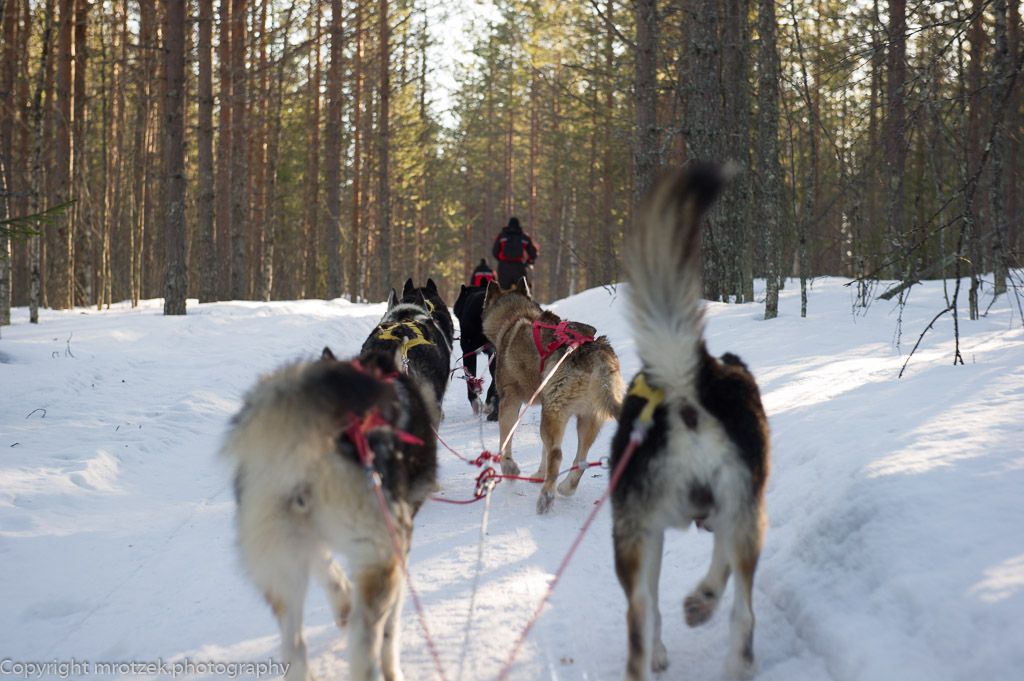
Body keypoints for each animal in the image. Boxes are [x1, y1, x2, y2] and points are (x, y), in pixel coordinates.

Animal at [222, 347, 437, 681]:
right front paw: (393, 670)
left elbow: (327, 568)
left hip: (284, 565)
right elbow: (392, 628)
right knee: (364, 642)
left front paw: (342, 602)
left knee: (294, 647)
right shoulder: (401, 545)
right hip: (380, 556)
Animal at [481, 277, 625, 513]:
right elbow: (543, 450)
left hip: (555, 412)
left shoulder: (510, 399)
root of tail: (596, 355)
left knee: (557, 453)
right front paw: (540, 473)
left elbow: (506, 438)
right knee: (579, 460)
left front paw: (509, 467)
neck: (517, 316)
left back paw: (546, 496)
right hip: (584, 418)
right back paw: (565, 486)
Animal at [609, 165, 770, 681]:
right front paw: (703, 599)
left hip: (643, 533)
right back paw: (737, 660)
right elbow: (720, 569)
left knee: (642, 615)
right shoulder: (728, 515)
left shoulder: (669, 528)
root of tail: (685, 390)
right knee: (742, 612)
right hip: (734, 514)